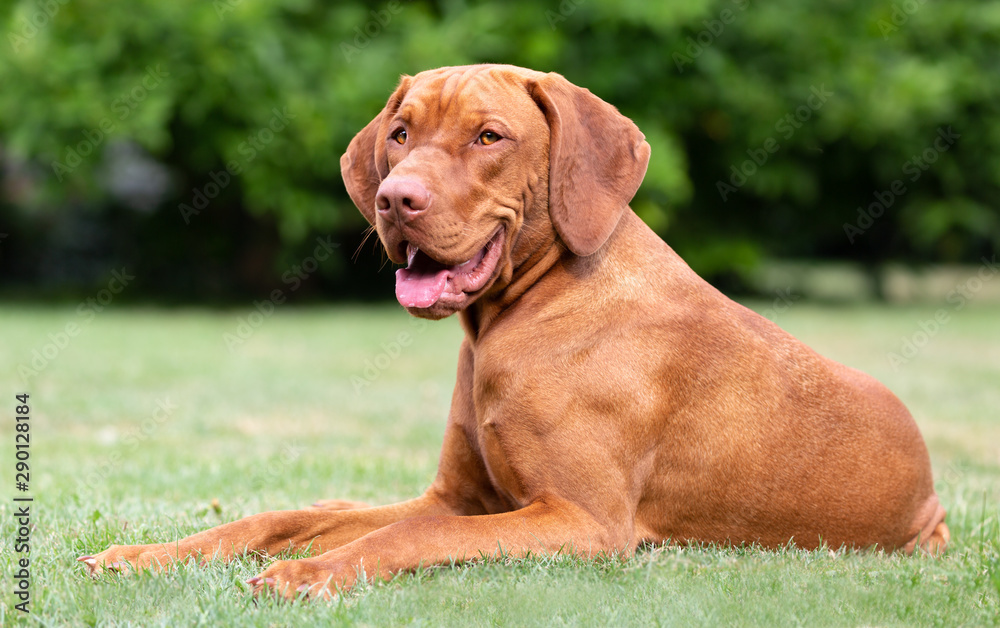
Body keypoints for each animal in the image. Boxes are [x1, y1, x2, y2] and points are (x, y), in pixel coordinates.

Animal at [82, 63, 948, 600]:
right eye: (400, 133)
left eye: (488, 137)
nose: (394, 199)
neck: (524, 315)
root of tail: (933, 498)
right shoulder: (458, 497)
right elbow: (279, 517)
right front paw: (144, 555)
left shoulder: (581, 522)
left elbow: (403, 540)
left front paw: (309, 575)